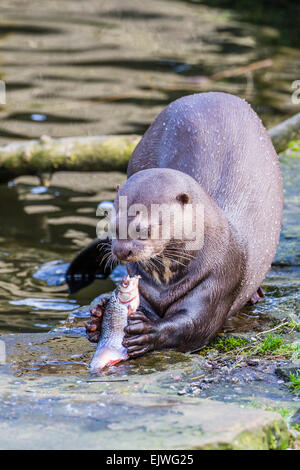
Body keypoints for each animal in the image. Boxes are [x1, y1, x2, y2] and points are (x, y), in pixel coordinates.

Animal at [68, 92, 284, 356]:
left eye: (145, 228)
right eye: (113, 226)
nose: (121, 251)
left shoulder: (219, 279)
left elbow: (195, 324)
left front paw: (150, 332)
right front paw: (98, 316)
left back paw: (256, 294)